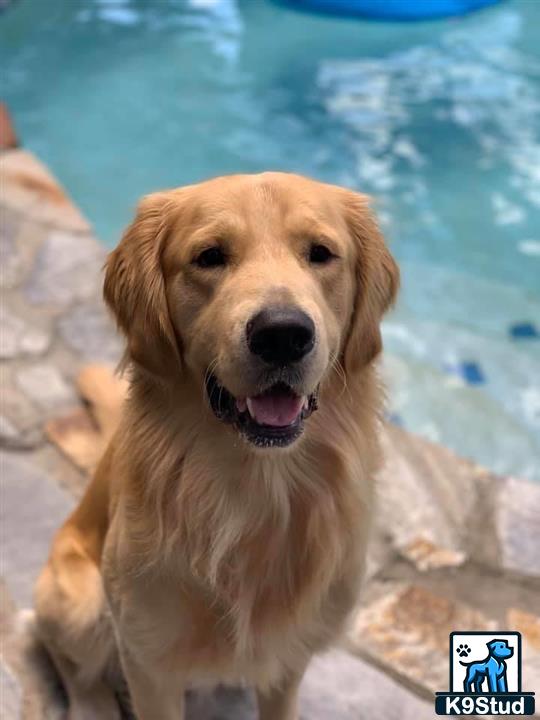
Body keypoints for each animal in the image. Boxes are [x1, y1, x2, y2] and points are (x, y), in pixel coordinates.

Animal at [33, 172, 396, 716]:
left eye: (321, 253)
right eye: (209, 256)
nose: (282, 334)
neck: (256, 491)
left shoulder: (288, 659)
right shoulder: (148, 659)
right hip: (81, 603)